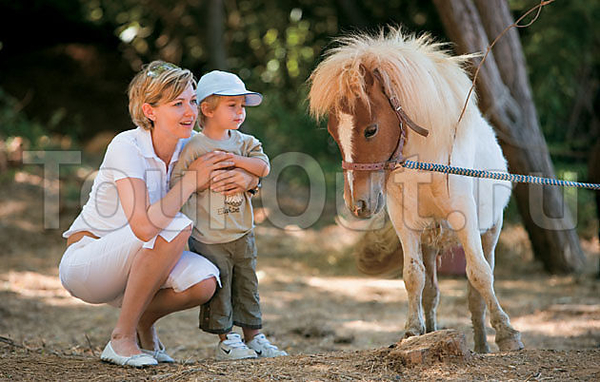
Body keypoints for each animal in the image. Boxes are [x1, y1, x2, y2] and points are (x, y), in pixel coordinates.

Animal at [310, 27, 524, 356]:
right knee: (432, 290)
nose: (358, 203)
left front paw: (507, 333)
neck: (426, 165)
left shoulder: (466, 220)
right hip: (430, 241)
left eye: (370, 130)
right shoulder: (405, 225)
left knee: (476, 290)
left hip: (490, 230)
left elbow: (480, 274)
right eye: (334, 133)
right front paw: (412, 332)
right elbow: (413, 277)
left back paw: (481, 344)